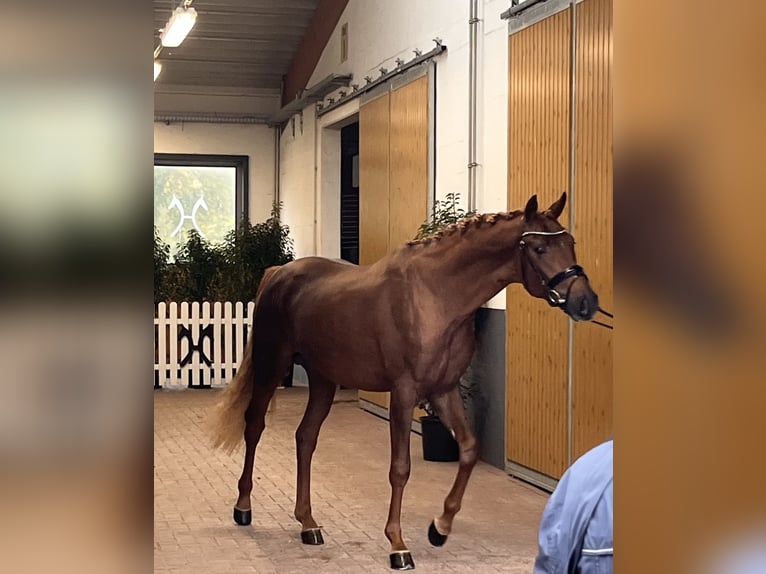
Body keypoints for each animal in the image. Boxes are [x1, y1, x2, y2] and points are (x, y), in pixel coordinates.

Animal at [213, 195, 604, 572]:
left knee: (305, 438)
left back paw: (308, 524)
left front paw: (439, 527)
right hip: (271, 366)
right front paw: (398, 545)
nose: (585, 302)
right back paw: (243, 507)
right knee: (254, 426)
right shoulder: (403, 393)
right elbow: (400, 469)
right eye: (538, 248)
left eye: (570, 242)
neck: (434, 295)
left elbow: (469, 450)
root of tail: (280, 272)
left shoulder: (443, 390)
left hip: (324, 380)